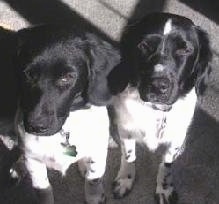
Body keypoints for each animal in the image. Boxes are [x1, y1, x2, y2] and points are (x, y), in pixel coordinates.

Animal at [14, 24, 120, 204]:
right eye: (28, 74)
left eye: (67, 77)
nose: (35, 126)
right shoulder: (35, 162)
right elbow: (43, 190)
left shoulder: (98, 153)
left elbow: (93, 182)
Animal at [108, 13, 211, 204]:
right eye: (143, 46)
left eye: (184, 50)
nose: (158, 86)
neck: (155, 111)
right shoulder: (126, 129)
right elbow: (129, 156)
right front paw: (125, 179)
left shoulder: (176, 137)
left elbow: (166, 165)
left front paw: (164, 189)